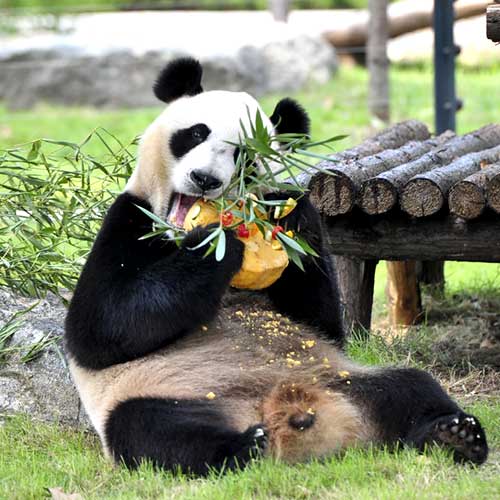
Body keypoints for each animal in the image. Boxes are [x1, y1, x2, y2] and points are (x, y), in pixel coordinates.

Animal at [62, 57, 488, 472]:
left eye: (245, 156)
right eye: (197, 134)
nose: (205, 179)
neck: (174, 237)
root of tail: (296, 414)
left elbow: (322, 319)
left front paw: (289, 214)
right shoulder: (129, 218)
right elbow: (101, 327)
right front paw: (216, 245)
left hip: (345, 378)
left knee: (410, 387)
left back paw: (455, 435)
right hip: (167, 391)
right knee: (153, 430)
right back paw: (241, 448)